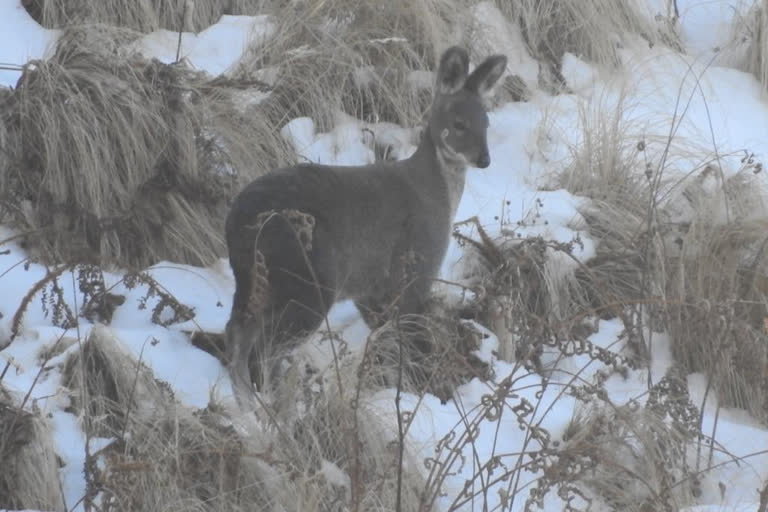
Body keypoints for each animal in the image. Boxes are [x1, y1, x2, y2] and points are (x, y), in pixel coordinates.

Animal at [225, 46, 508, 404]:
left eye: (486, 121)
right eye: (459, 124)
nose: (484, 159)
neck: (437, 195)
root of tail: (240, 223)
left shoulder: (370, 289)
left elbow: (385, 341)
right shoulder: (416, 269)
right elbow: (409, 342)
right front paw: (420, 392)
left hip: (254, 282)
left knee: (237, 336)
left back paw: (247, 405)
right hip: (308, 280)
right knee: (265, 349)